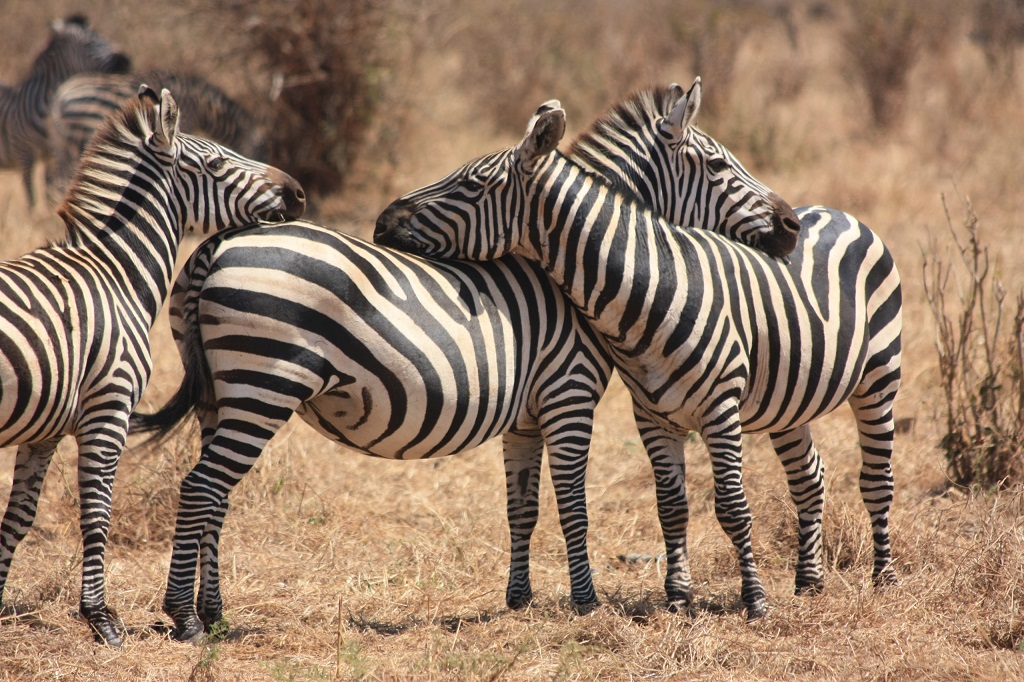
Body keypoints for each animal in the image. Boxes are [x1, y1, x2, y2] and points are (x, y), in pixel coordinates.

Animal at [0, 15, 130, 204]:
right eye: (88, 43)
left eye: (102, 36)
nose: (125, 60)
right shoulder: (25, 153)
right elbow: (32, 197)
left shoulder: (52, 154)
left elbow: (49, 189)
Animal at [125, 84, 798, 638]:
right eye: (718, 165)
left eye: (471, 183)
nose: (792, 225)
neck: (563, 274)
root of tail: (213, 247)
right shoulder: (570, 391)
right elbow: (573, 505)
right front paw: (585, 603)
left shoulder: (526, 412)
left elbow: (523, 508)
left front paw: (519, 599)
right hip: (263, 384)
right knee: (201, 488)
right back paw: (184, 618)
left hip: (222, 395)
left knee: (215, 497)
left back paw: (214, 613)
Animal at [372, 87, 901, 618]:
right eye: (717, 164)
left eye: (472, 182)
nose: (380, 223)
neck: (652, 287)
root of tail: (835, 211)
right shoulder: (648, 413)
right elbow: (666, 505)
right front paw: (678, 597)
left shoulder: (706, 407)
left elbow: (731, 506)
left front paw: (753, 601)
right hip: (789, 401)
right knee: (810, 476)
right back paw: (810, 581)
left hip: (879, 379)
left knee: (876, 479)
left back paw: (884, 579)